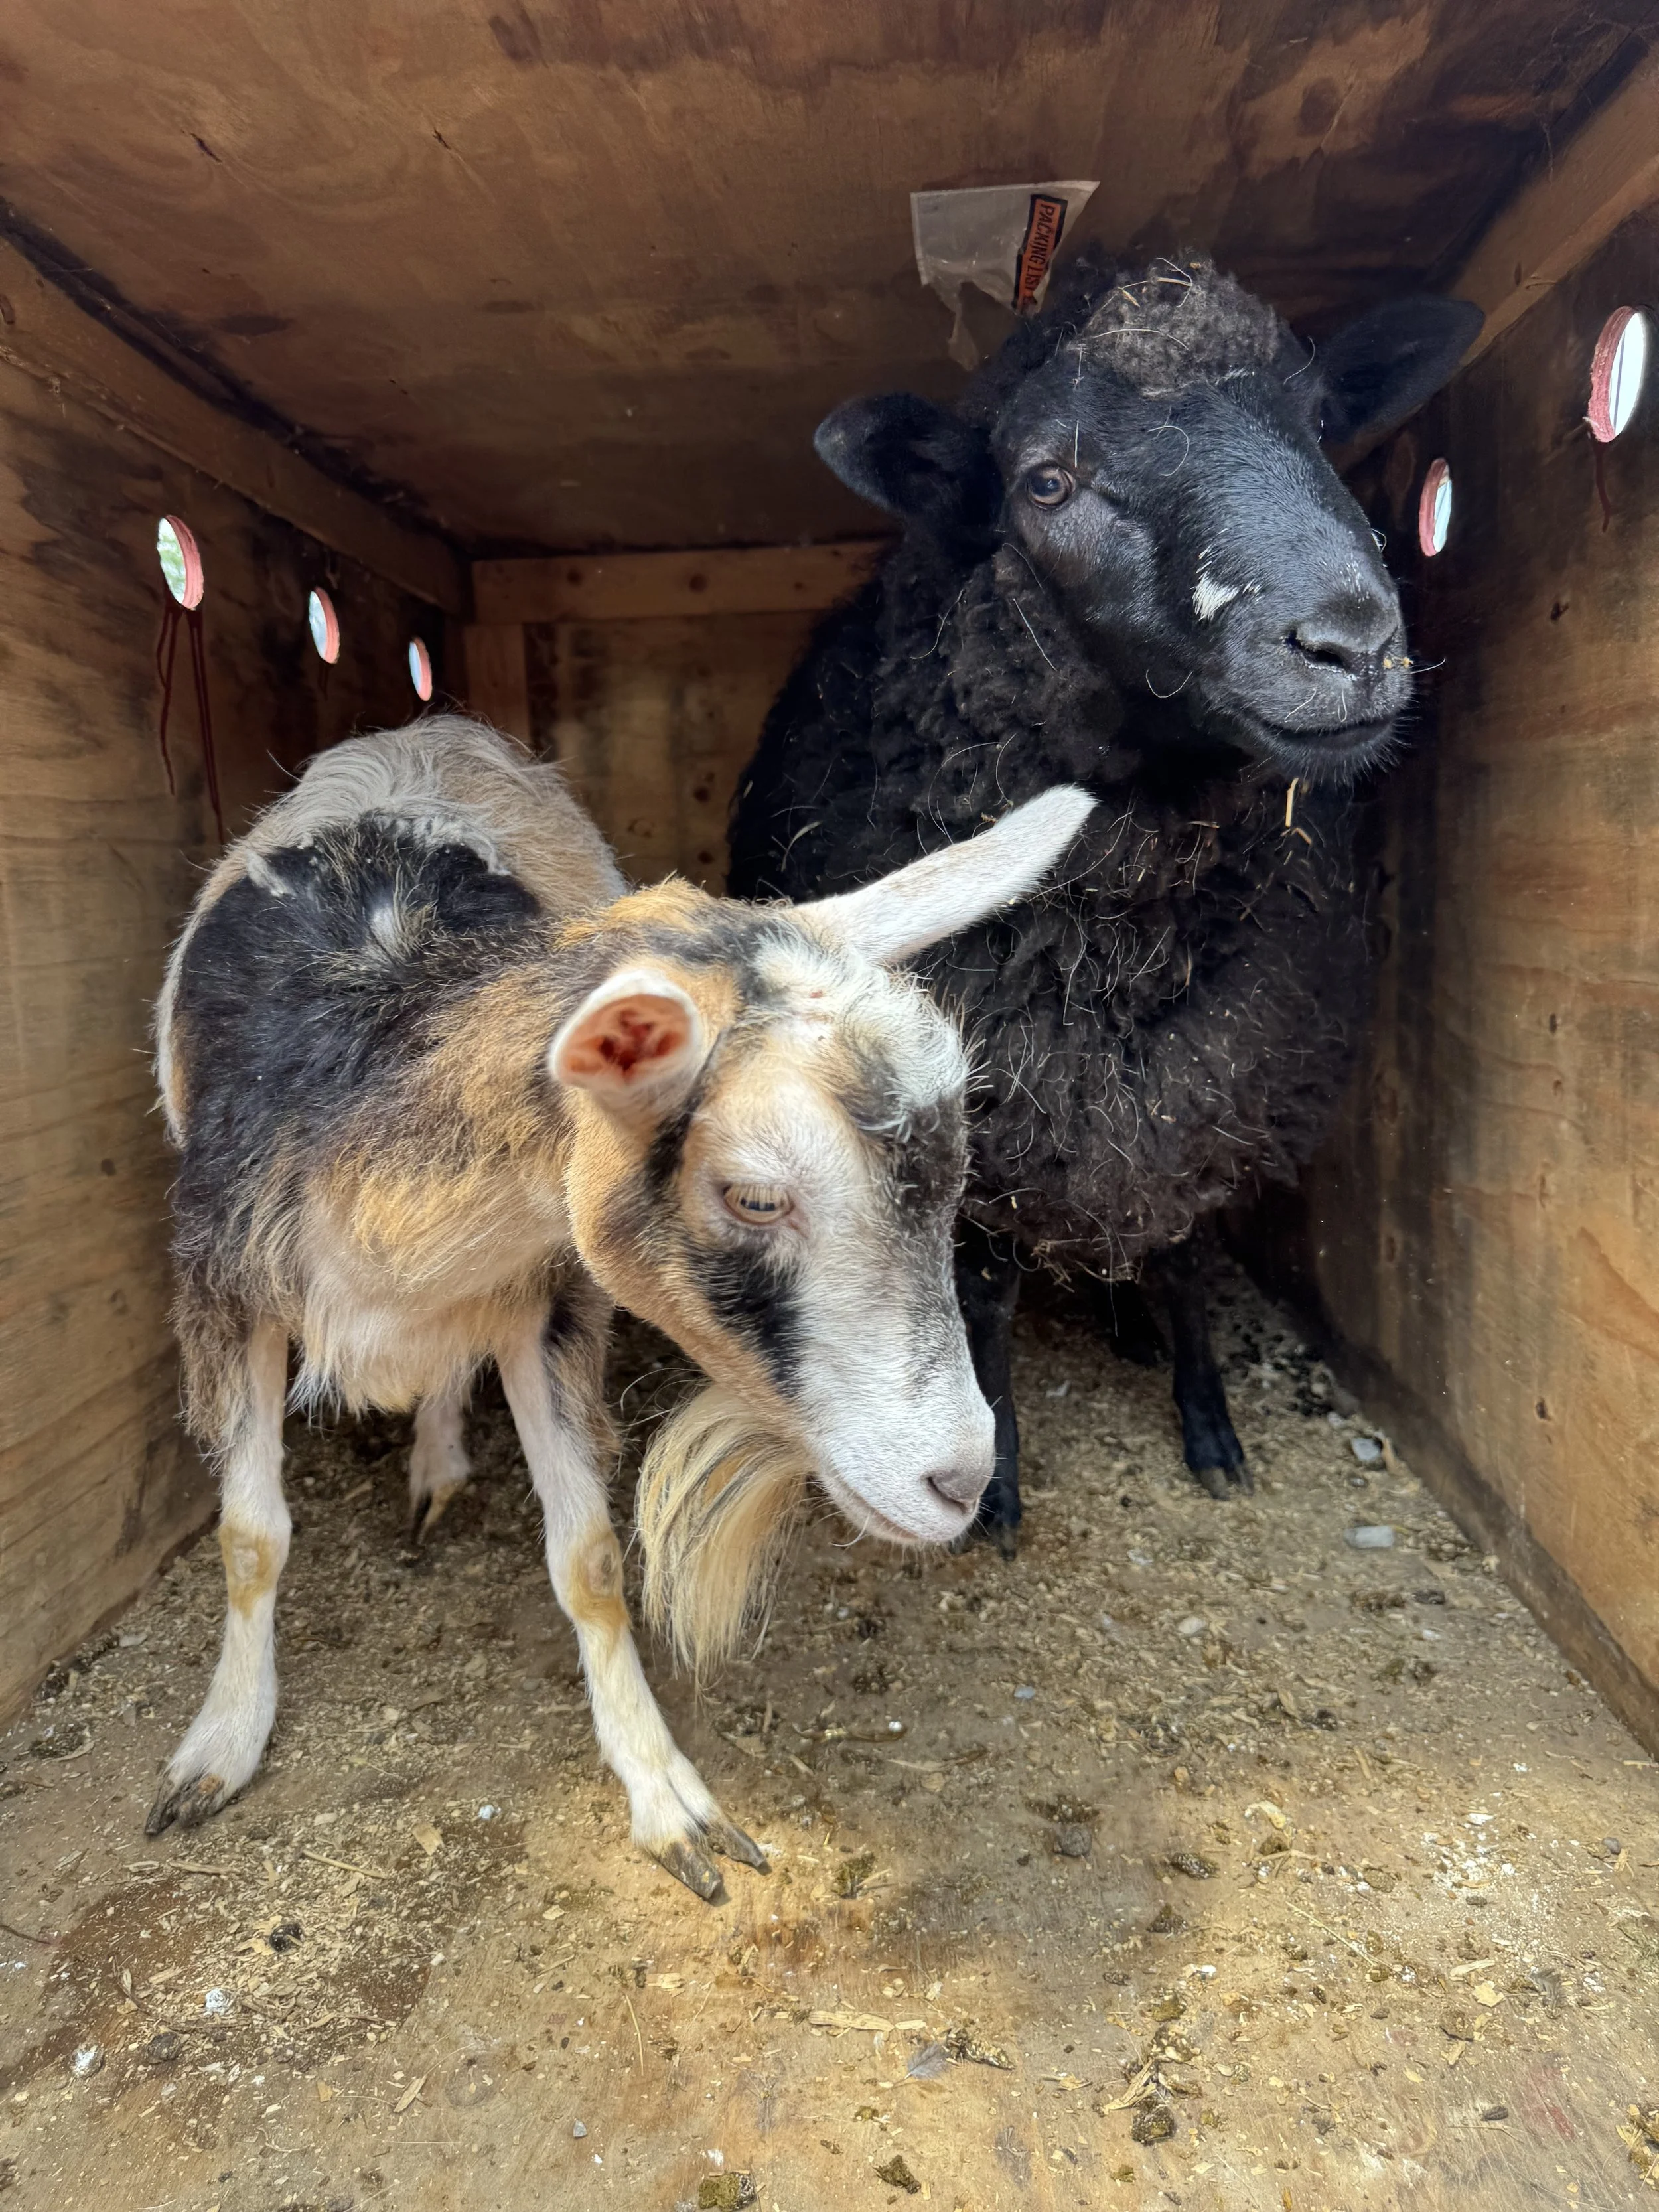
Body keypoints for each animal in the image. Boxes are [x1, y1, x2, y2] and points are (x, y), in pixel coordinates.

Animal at [148, 715, 1090, 1898]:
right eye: (756, 1195)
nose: (962, 1480)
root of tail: (432, 729)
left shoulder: (548, 1299)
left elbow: (590, 1562)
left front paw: (664, 1793)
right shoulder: (222, 1287)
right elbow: (250, 1538)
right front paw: (219, 1743)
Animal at [728, 253, 1480, 1547]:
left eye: (1321, 422)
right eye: (1047, 480)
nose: (1352, 642)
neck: (1122, 946)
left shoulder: (1212, 1093)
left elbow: (1184, 1260)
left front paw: (1210, 1425)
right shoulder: (986, 1115)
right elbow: (985, 1301)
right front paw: (997, 1485)